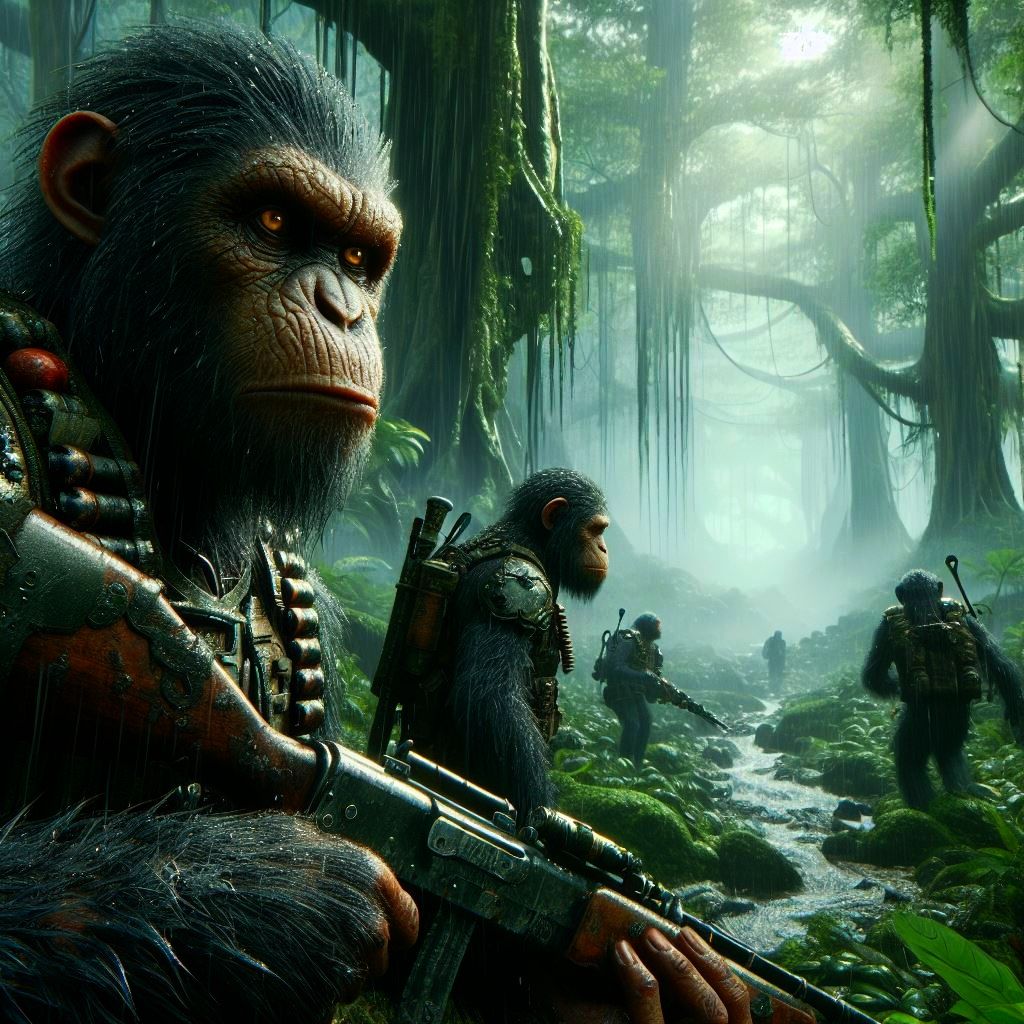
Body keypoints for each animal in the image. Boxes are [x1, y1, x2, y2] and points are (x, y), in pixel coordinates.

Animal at [862, 569, 1024, 809]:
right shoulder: (971, 623)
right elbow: (998, 664)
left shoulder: (883, 626)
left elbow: (873, 676)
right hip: (955, 721)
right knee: (950, 751)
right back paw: (962, 790)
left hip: (920, 722)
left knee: (908, 757)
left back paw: (922, 804)